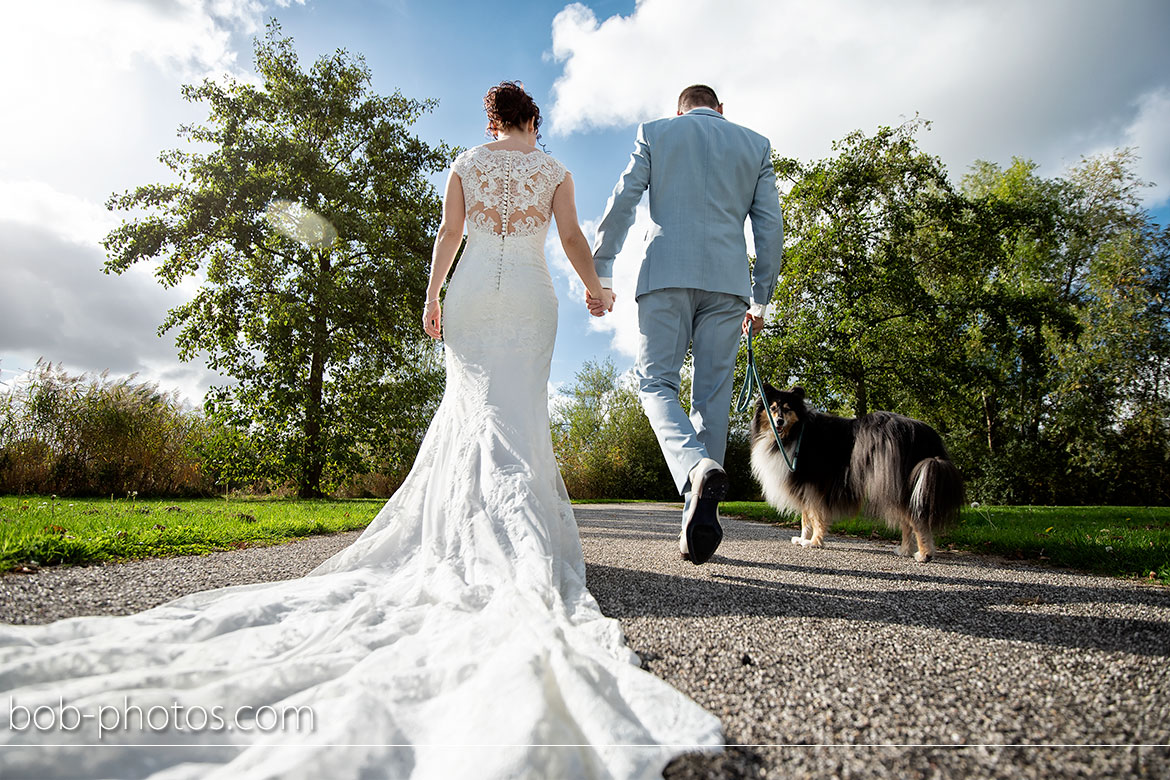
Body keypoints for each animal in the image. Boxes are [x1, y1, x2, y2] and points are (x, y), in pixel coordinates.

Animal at [753, 383, 964, 561]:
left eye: (787, 409)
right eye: (772, 408)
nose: (779, 421)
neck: (795, 432)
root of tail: (925, 433)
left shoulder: (814, 484)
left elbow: (816, 516)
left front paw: (814, 542)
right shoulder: (804, 485)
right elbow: (806, 517)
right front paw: (802, 539)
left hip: (900, 485)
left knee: (916, 520)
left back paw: (924, 554)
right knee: (907, 522)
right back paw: (905, 550)